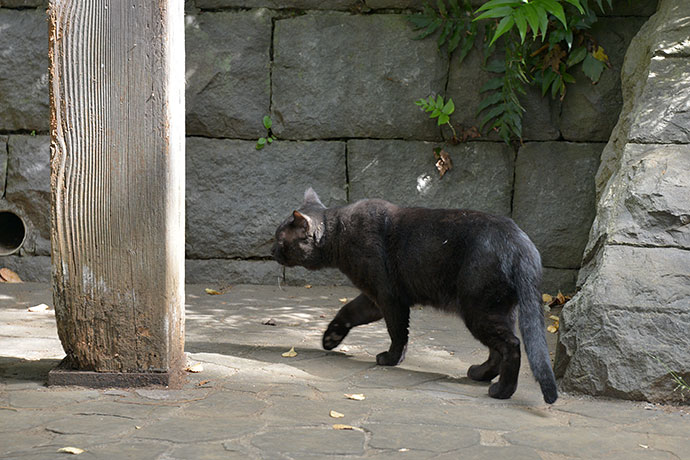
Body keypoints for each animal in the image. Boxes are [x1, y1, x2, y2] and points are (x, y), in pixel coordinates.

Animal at [272, 187, 556, 402]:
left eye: (279, 239)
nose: (271, 250)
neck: (339, 233)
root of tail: (521, 242)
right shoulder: (373, 297)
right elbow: (348, 310)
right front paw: (331, 338)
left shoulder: (389, 298)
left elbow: (397, 332)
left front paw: (391, 359)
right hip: (499, 309)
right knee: (497, 349)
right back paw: (480, 373)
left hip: (478, 309)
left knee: (511, 345)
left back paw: (501, 391)